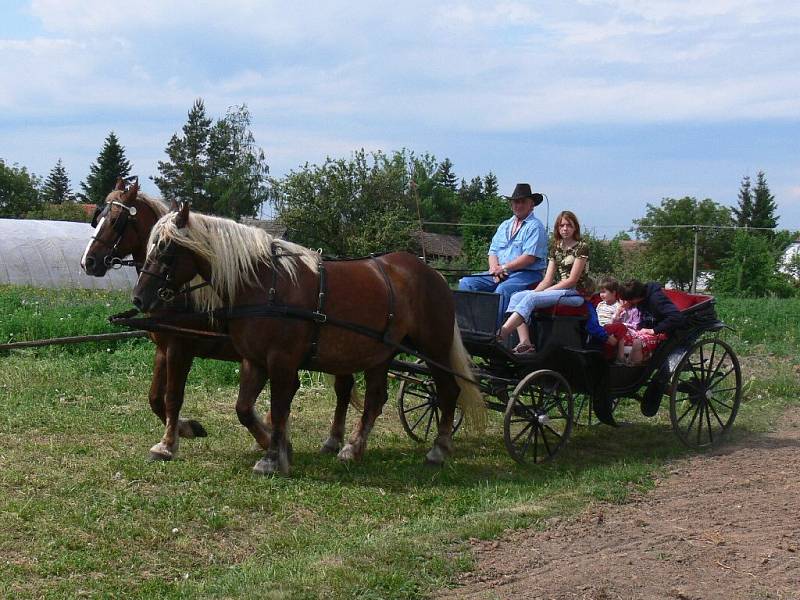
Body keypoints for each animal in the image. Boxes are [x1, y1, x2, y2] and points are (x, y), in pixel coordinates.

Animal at [79, 177, 358, 460]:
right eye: (98, 218)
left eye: (116, 221)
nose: (88, 262)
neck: (181, 292)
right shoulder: (163, 347)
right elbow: (155, 398)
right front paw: (186, 428)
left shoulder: (180, 347)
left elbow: (173, 397)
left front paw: (168, 443)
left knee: (342, 387)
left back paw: (334, 441)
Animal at [134, 204, 484, 476]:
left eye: (166, 249)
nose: (139, 298)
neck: (265, 285)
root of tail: (432, 273)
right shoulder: (253, 360)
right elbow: (245, 408)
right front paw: (278, 449)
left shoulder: (279, 360)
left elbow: (277, 408)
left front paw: (272, 458)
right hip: (380, 353)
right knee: (375, 399)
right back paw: (352, 448)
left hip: (433, 347)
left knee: (447, 392)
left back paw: (438, 450)